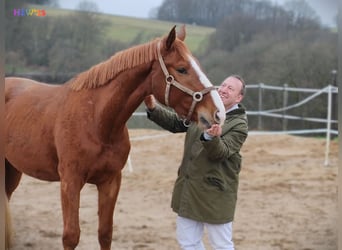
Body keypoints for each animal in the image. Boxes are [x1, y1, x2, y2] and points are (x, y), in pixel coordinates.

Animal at [4, 25, 226, 250]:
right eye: (182, 69)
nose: (218, 113)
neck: (96, 120)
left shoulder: (110, 181)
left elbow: (105, 233)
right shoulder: (70, 181)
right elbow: (71, 235)